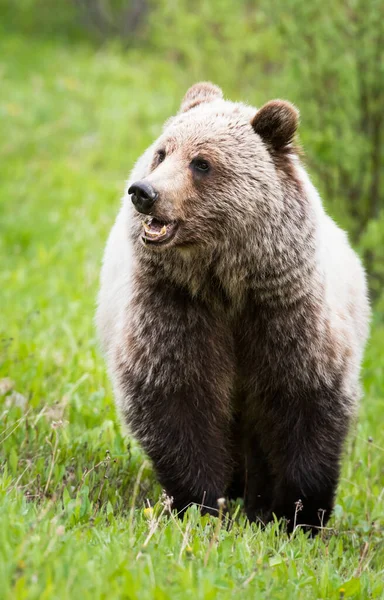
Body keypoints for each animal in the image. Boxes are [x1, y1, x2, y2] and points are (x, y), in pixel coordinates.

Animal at [97, 82, 370, 532]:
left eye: (201, 162)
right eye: (162, 152)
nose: (144, 192)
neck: (227, 282)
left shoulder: (287, 313)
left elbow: (305, 401)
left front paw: (298, 513)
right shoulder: (174, 305)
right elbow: (177, 397)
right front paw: (201, 501)